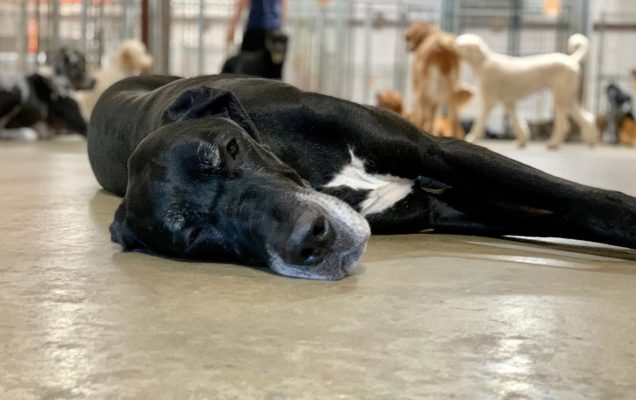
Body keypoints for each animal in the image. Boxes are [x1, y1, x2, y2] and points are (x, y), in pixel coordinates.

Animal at [88, 76, 636, 282]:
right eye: (196, 236)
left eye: (230, 149)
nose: (313, 240)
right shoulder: (442, 209)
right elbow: (562, 213)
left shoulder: (440, 152)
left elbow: (580, 202)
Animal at [454, 32, 600, 148]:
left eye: (460, 45)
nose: (450, 45)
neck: (483, 62)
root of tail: (571, 59)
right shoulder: (508, 103)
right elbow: (518, 123)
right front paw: (522, 141)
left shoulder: (489, 101)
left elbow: (479, 123)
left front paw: (472, 138)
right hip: (568, 98)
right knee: (587, 118)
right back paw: (591, 141)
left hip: (561, 98)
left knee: (564, 125)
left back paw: (554, 143)